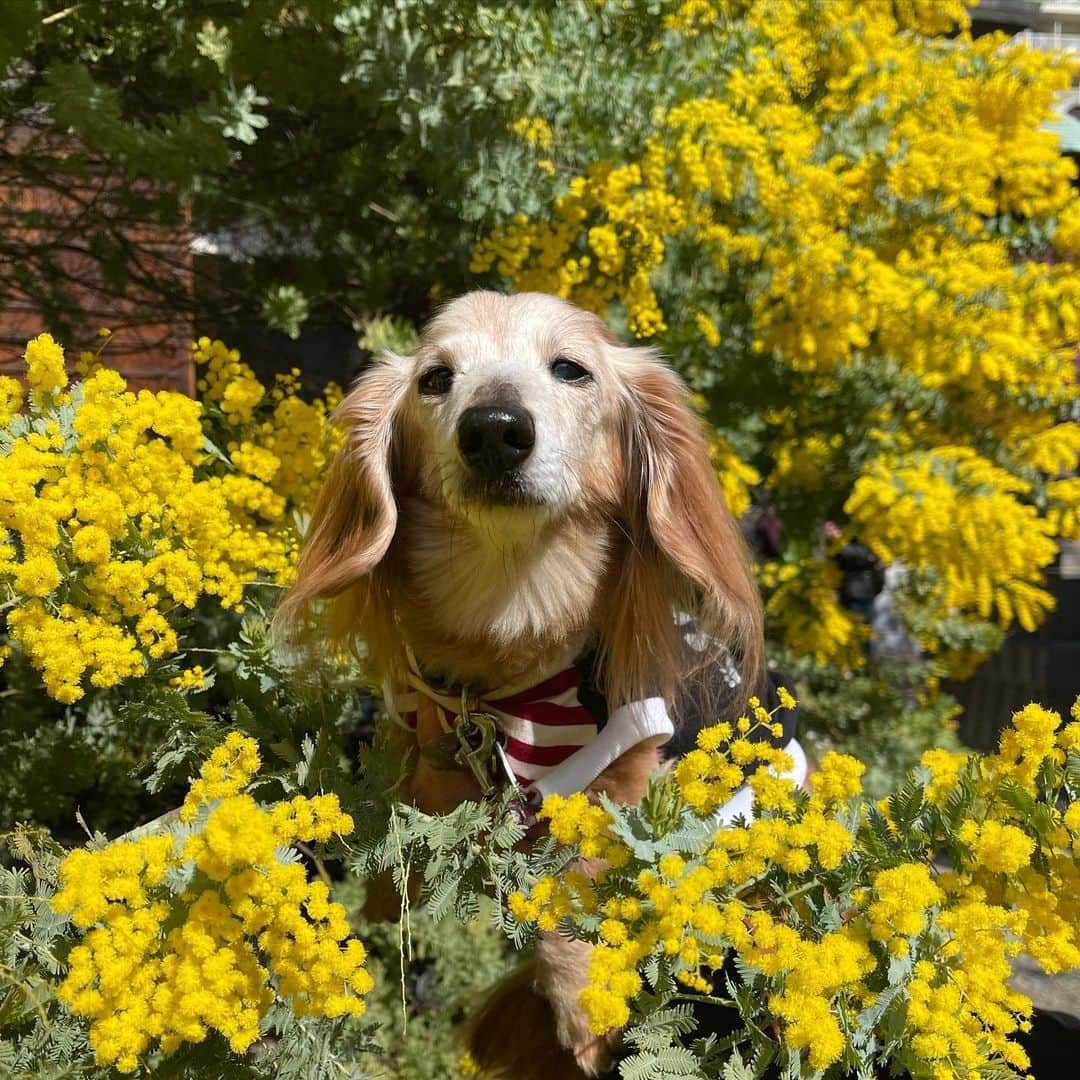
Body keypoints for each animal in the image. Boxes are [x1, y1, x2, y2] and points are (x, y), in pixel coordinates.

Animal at [276, 291, 768, 1075]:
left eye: (571, 369)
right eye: (436, 379)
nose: (495, 429)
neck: (508, 614)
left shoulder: (623, 762)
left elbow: (583, 869)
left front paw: (583, 1004)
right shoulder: (425, 751)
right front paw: (381, 927)